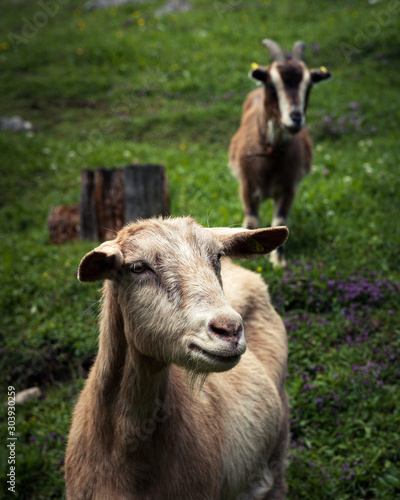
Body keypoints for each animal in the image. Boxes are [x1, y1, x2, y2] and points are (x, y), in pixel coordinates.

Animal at [230, 40, 330, 266]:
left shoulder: (289, 186)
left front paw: (278, 262)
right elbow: (251, 220)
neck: (271, 154)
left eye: (309, 85)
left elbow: (281, 219)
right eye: (271, 83)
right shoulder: (246, 184)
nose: (295, 118)